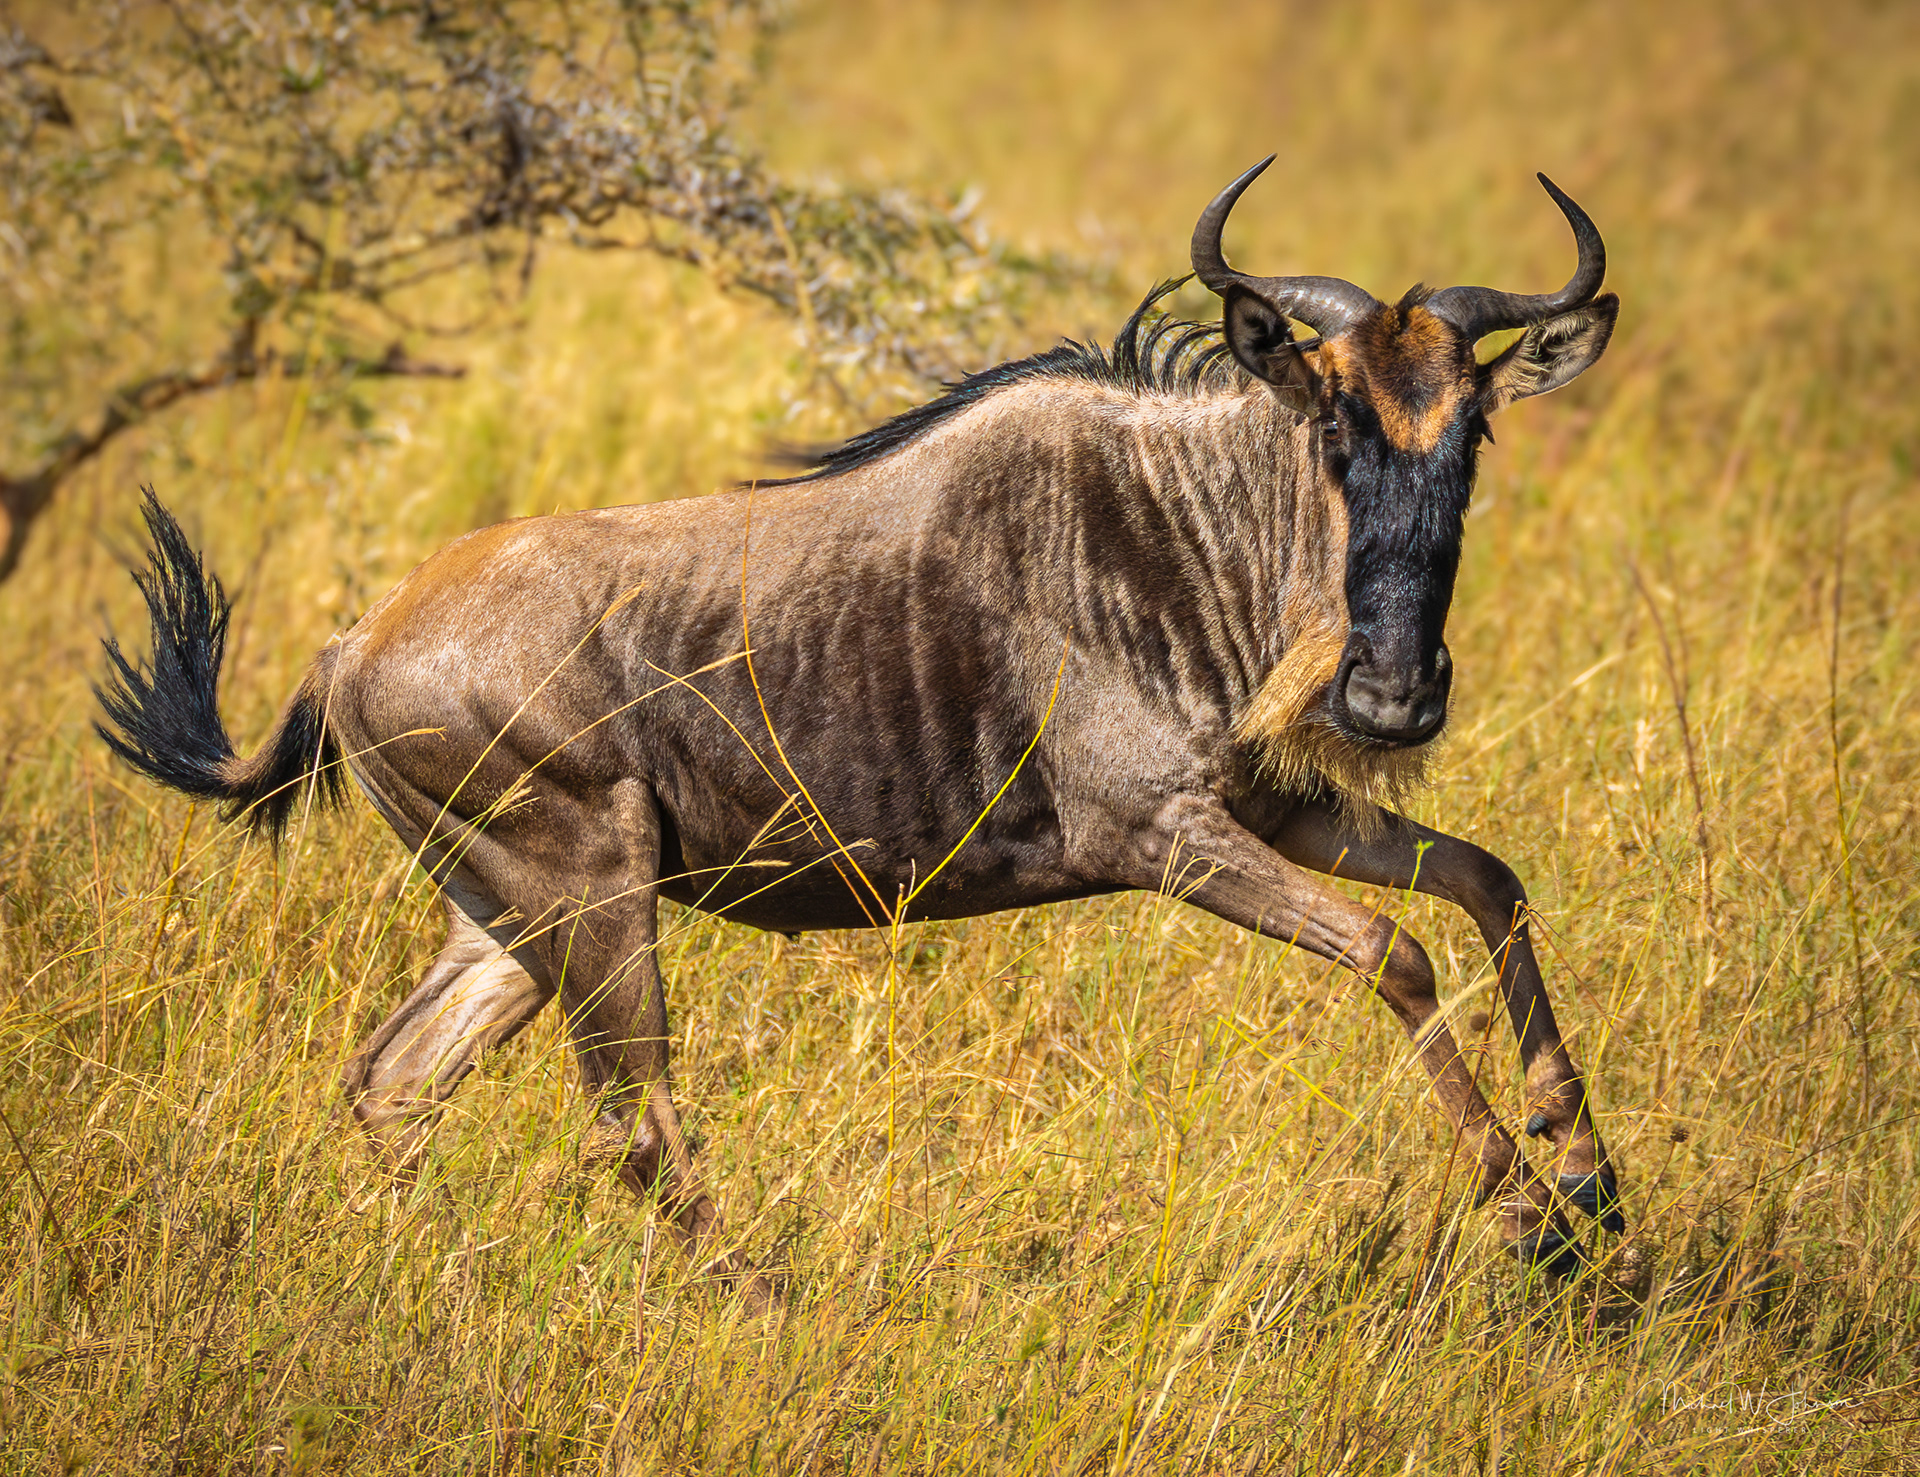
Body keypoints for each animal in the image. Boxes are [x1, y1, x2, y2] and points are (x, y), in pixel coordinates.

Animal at [99, 159, 1625, 1302]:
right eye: (1332, 429)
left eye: (1472, 435)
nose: (1392, 695)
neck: (1177, 529)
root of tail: (350, 645)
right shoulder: (1162, 834)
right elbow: (1392, 950)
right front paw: (1525, 1208)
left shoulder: (1272, 803)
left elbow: (1487, 878)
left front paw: (1587, 1167)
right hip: (589, 896)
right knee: (633, 1125)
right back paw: (761, 1298)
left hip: (509, 917)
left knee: (394, 1083)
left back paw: (447, 1277)